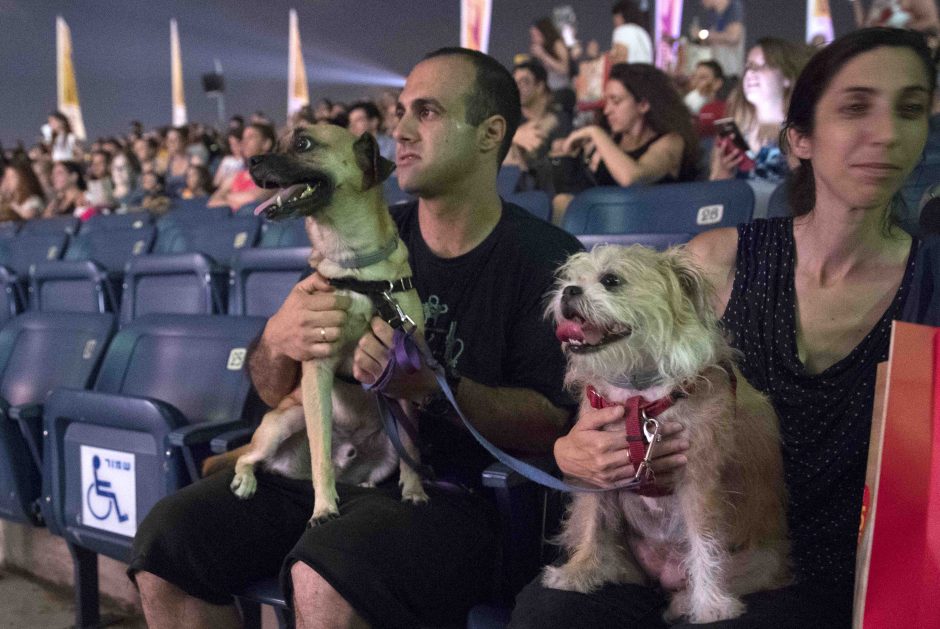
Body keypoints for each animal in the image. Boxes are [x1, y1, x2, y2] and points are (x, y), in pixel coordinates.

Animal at [229, 124, 428, 524]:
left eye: (303, 143)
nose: (251, 160)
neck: (355, 265)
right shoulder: (317, 368)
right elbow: (320, 452)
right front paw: (323, 508)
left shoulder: (404, 375)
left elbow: (412, 448)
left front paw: (415, 490)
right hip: (285, 419)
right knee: (247, 457)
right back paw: (247, 480)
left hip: (384, 445)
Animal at [540, 245, 788, 624]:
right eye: (570, 279)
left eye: (611, 280)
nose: (568, 291)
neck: (639, 396)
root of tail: (662, 577)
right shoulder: (598, 471)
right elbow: (593, 524)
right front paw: (580, 571)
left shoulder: (699, 479)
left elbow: (704, 541)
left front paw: (711, 604)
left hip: (761, 561)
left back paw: (686, 602)